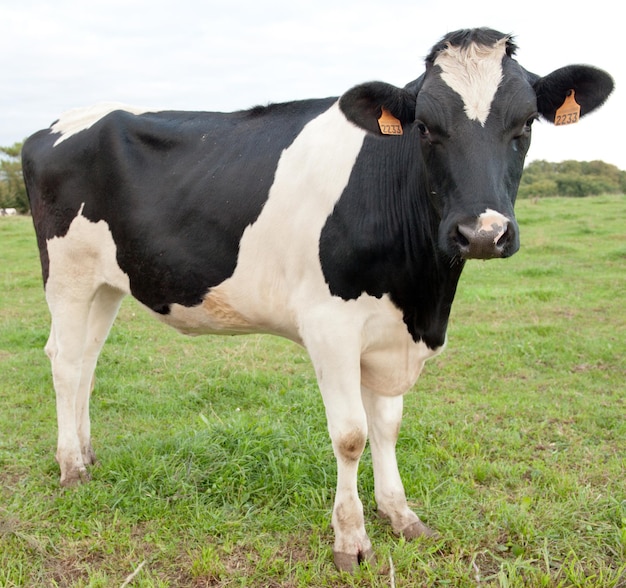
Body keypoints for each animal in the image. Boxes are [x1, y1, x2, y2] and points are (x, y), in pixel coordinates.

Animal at [23, 28, 608, 568]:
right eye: (424, 127)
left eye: (526, 124)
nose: (482, 233)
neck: (423, 297)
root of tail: (51, 127)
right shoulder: (331, 325)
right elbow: (351, 434)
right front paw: (351, 539)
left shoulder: (388, 331)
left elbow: (388, 426)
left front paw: (400, 514)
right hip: (67, 274)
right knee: (65, 361)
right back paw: (71, 468)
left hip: (107, 283)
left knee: (88, 359)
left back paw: (88, 455)